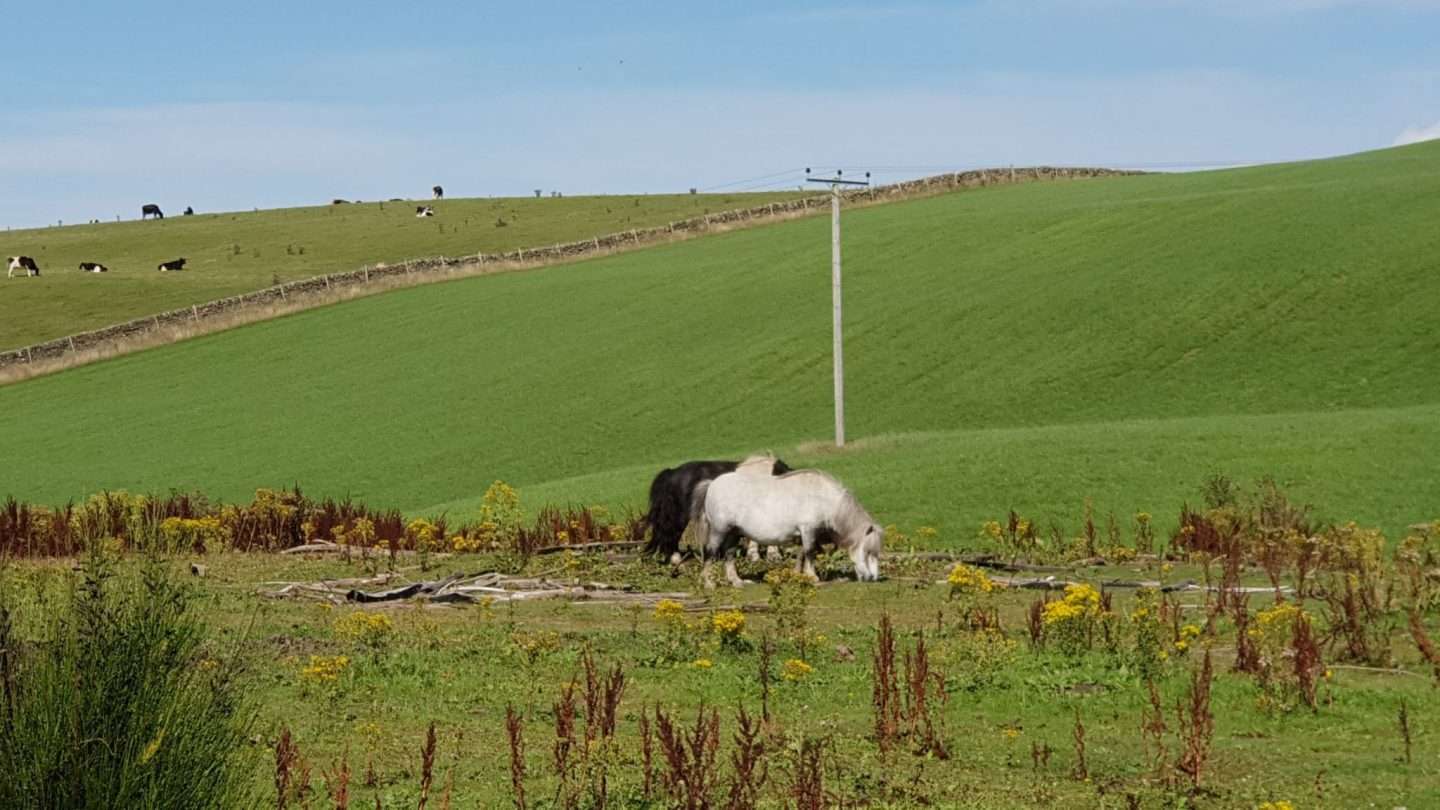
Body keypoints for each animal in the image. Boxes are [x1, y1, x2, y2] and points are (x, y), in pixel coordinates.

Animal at [693, 469, 883, 588]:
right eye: (868, 552)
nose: (872, 578)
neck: (824, 498)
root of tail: (712, 484)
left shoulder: (804, 534)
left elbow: (801, 554)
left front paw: (798, 575)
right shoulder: (808, 530)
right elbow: (810, 552)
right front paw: (813, 577)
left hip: (733, 533)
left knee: (729, 554)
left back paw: (737, 581)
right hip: (719, 530)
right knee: (710, 552)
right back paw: (709, 583)